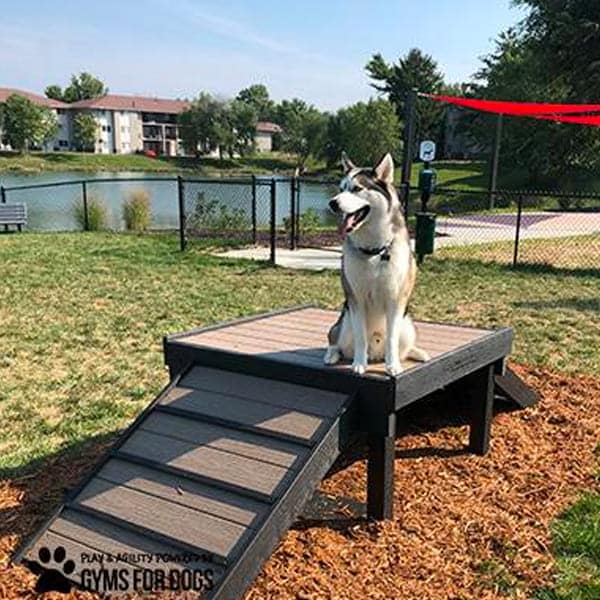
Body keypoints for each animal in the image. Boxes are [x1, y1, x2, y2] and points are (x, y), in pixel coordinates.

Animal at [326, 152, 428, 378]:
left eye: (356, 188)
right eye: (341, 188)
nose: (332, 203)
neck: (374, 251)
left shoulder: (396, 300)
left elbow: (391, 339)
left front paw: (393, 366)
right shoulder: (356, 299)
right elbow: (361, 337)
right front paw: (358, 363)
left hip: (409, 327)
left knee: (403, 345)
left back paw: (416, 352)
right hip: (344, 324)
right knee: (335, 340)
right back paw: (332, 355)